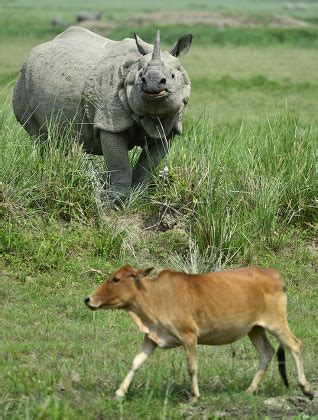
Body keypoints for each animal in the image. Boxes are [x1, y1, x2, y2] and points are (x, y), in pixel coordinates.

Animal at [84, 266, 314, 400]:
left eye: (115, 279)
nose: (88, 299)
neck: (154, 296)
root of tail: (275, 275)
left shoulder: (189, 336)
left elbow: (192, 367)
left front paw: (194, 396)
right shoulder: (151, 337)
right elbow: (136, 362)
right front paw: (119, 392)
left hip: (276, 323)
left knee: (295, 345)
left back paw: (306, 387)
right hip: (254, 329)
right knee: (266, 352)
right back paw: (249, 390)